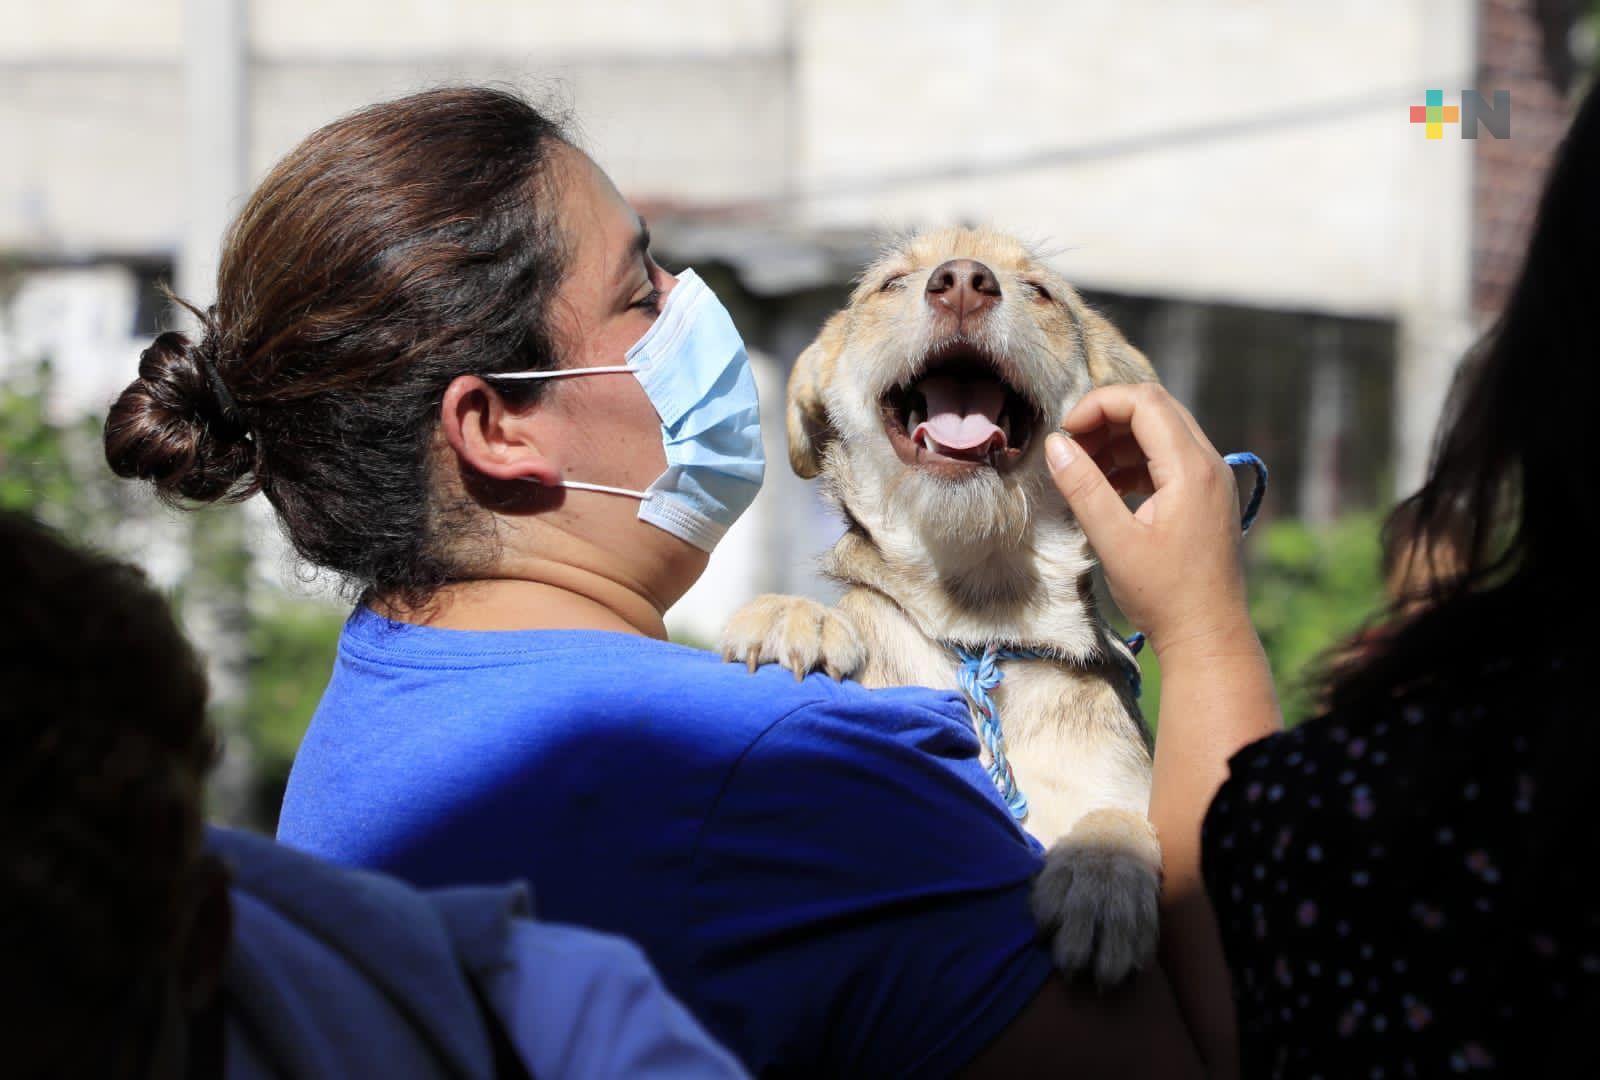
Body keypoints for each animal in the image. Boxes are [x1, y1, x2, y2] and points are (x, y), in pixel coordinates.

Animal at [726, 228, 1164, 985]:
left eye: (1041, 292)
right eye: (890, 284)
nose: (962, 281)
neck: (983, 623)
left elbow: (1128, 816)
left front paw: (1104, 869)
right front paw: (795, 615)